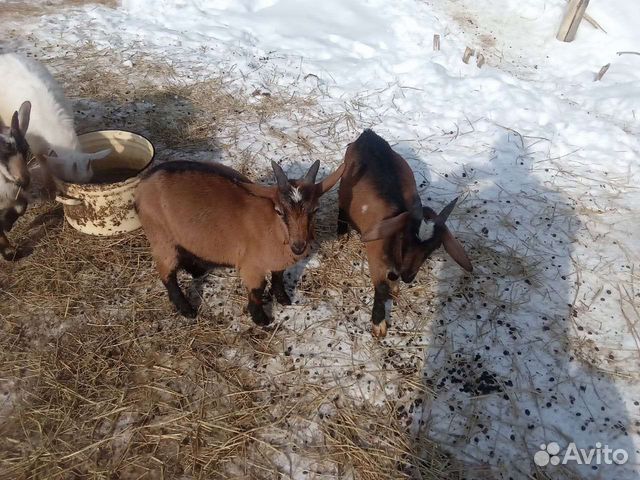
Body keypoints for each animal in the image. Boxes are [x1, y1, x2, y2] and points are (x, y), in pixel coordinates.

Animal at [136, 159, 344, 324]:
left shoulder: (278, 259)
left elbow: (278, 276)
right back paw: (187, 309)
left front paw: (283, 298)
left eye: (315, 209)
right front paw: (261, 319)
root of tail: (144, 182)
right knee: (167, 273)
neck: (275, 229)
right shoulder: (252, 265)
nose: (299, 246)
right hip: (160, 236)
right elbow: (258, 289)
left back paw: (197, 271)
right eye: (279, 211)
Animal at [338, 129, 472, 336]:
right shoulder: (375, 255)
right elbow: (381, 287)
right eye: (405, 238)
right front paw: (379, 323)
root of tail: (368, 134)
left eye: (434, 247)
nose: (408, 276)